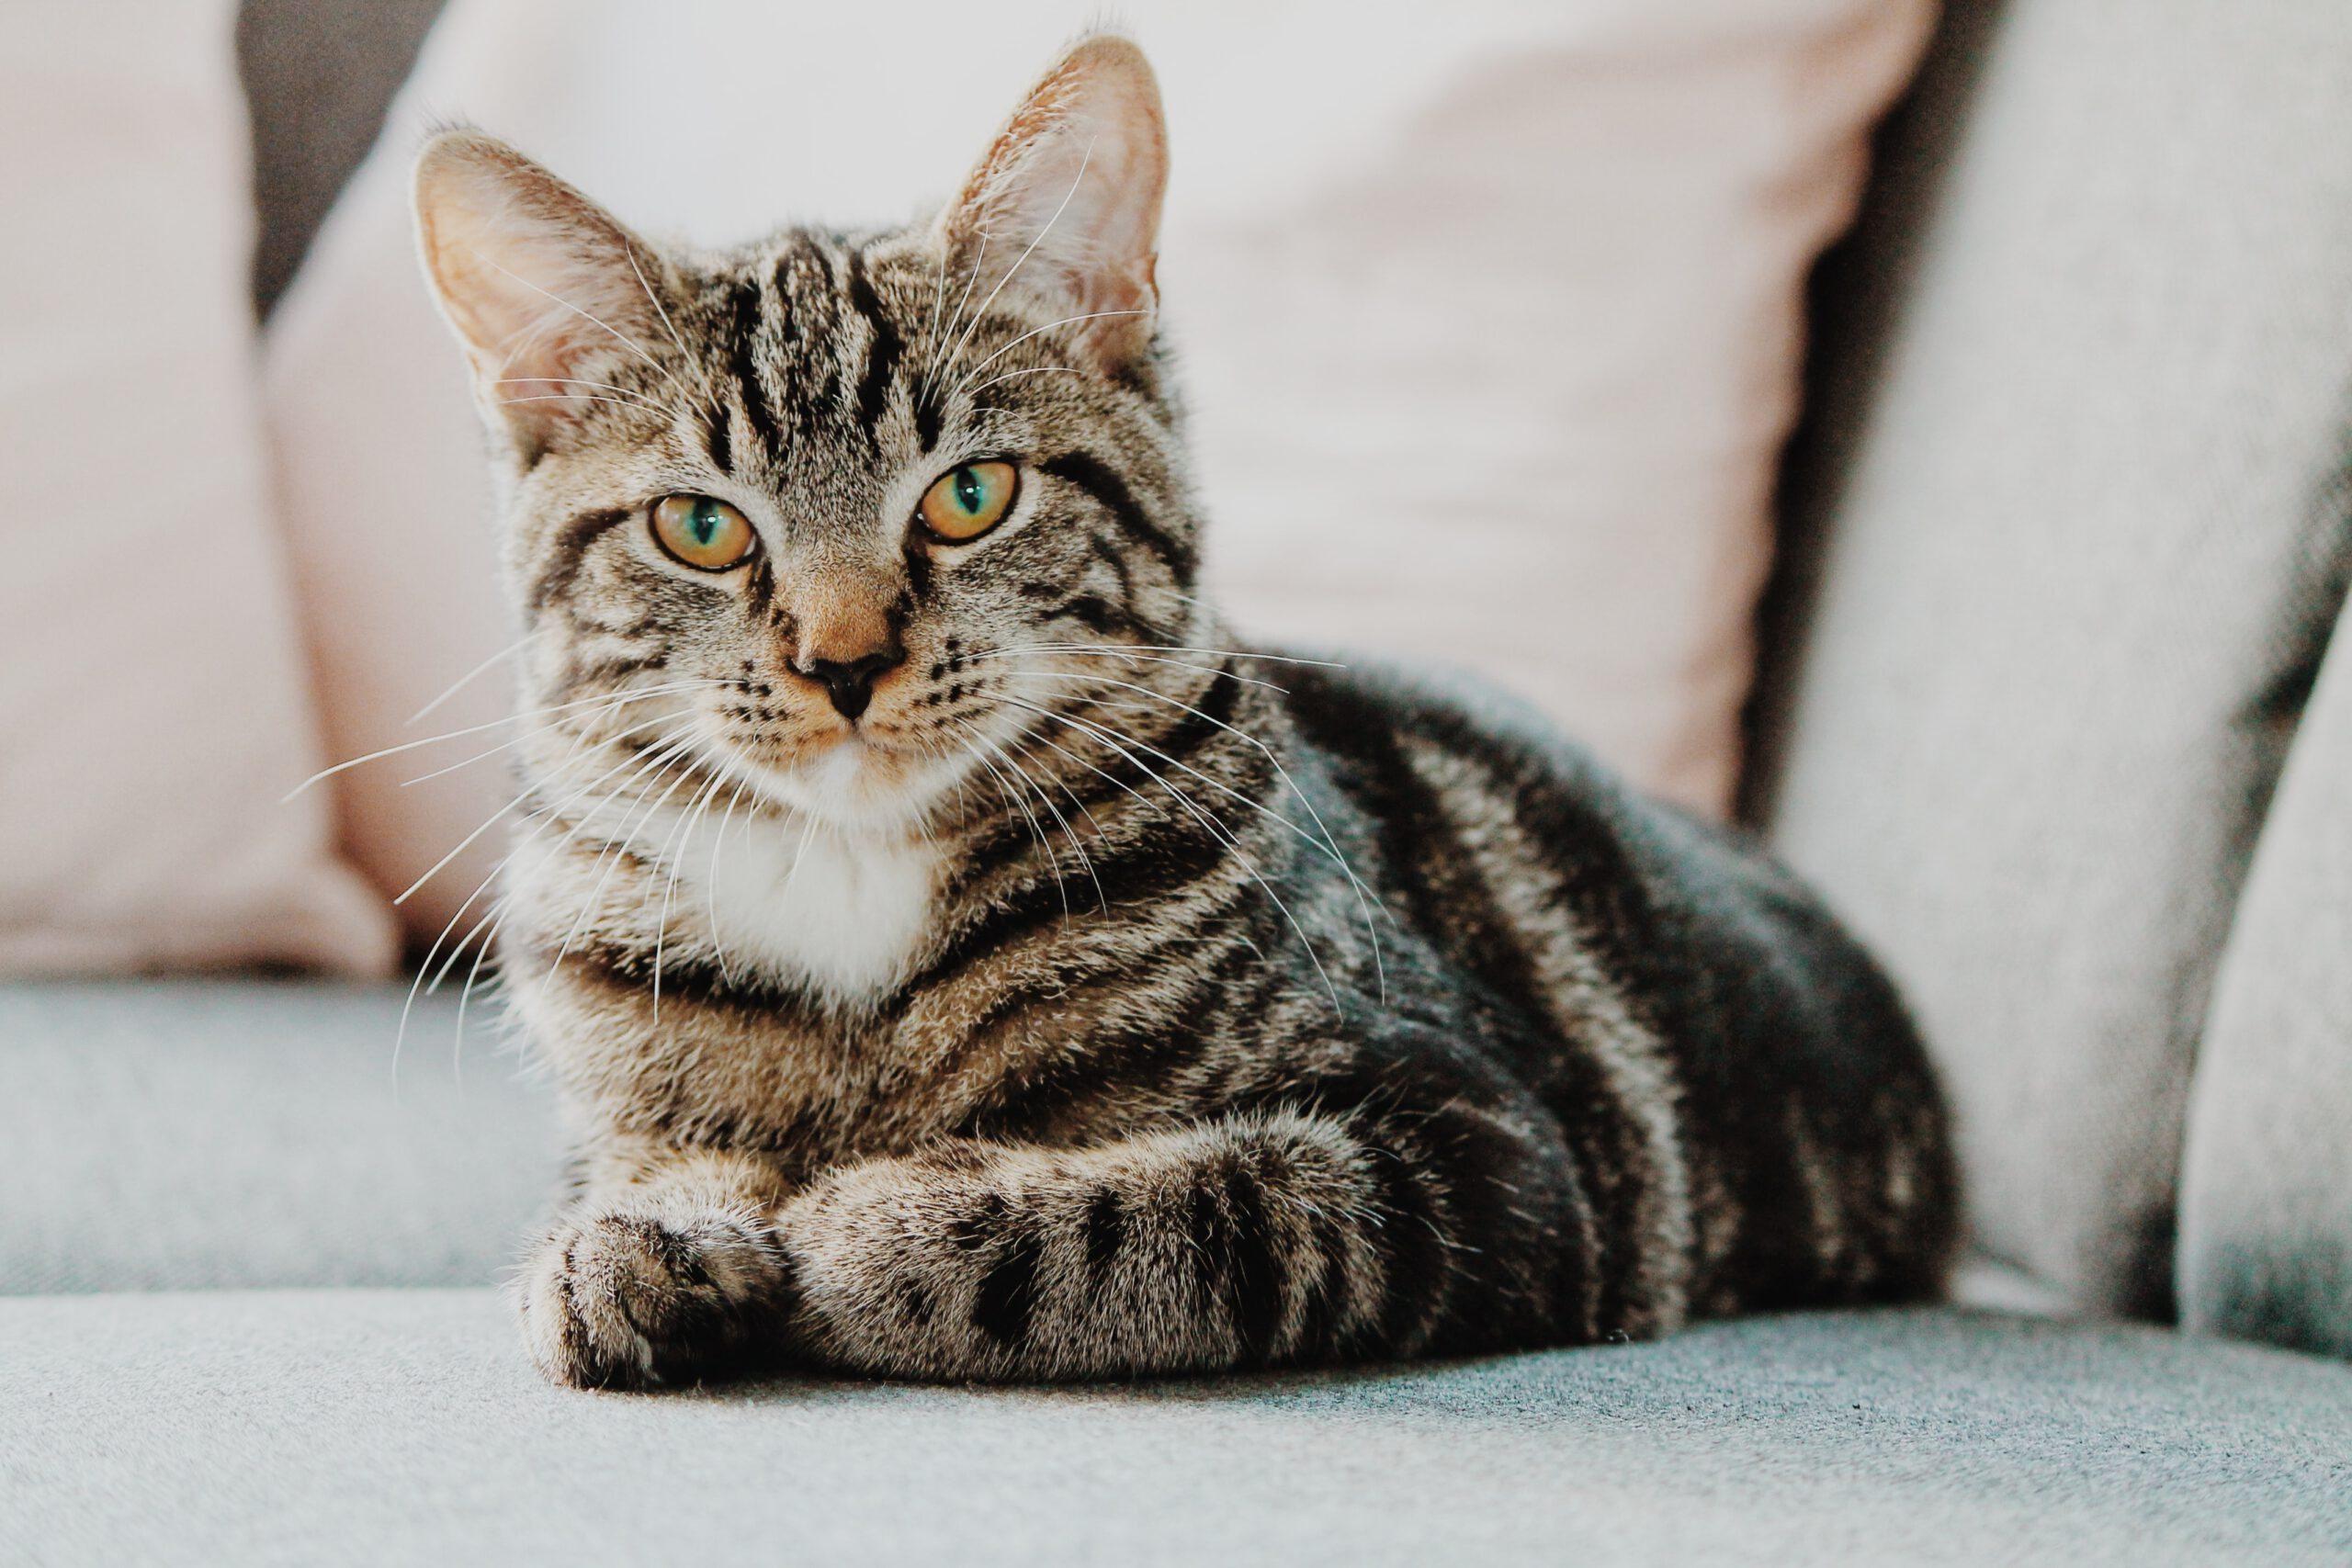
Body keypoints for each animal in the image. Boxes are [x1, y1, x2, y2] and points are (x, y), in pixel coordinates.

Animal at [413, 33, 1956, 1382]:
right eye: (701, 527)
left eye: (971, 495)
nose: (843, 660)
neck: (854, 883)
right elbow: (641, 1157)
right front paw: (635, 1231)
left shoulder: (1485, 1149)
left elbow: (1172, 1210)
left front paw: (871, 1221)